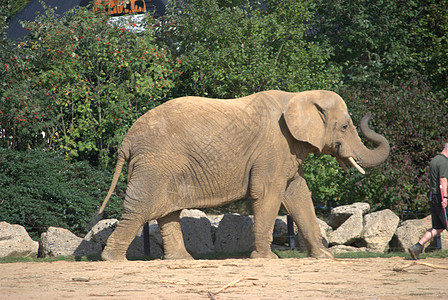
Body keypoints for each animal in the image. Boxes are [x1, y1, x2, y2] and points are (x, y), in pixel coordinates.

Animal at [97, 89, 388, 260]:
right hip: (155, 163)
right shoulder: (273, 147)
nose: (371, 114)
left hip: (165, 166)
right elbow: (267, 193)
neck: (299, 95)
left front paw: (324, 258)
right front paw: (266, 259)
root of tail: (127, 141)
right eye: (345, 126)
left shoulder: (287, 151)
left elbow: (298, 194)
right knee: (141, 208)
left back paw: (183, 260)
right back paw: (113, 259)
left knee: (168, 211)